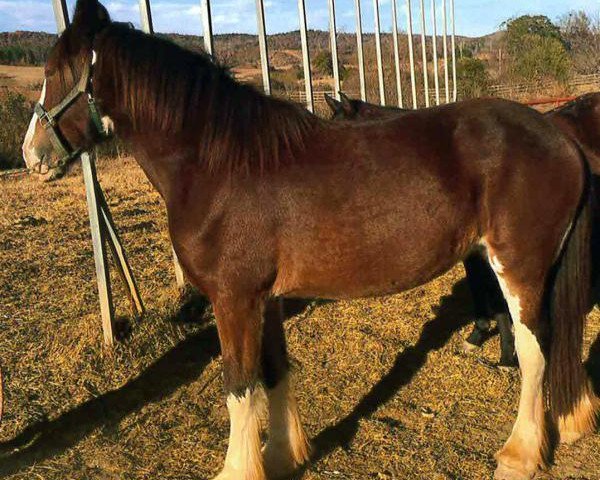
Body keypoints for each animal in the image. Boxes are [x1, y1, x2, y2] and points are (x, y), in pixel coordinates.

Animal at [21, 1, 596, 478]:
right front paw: (282, 456)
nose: (31, 155)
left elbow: (238, 386)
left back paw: (520, 453)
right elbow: (274, 373)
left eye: (53, 73)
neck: (218, 165)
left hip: (520, 267)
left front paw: (240, 469)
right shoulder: (265, 299)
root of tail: (559, 135)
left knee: (536, 350)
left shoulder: (233, 300)